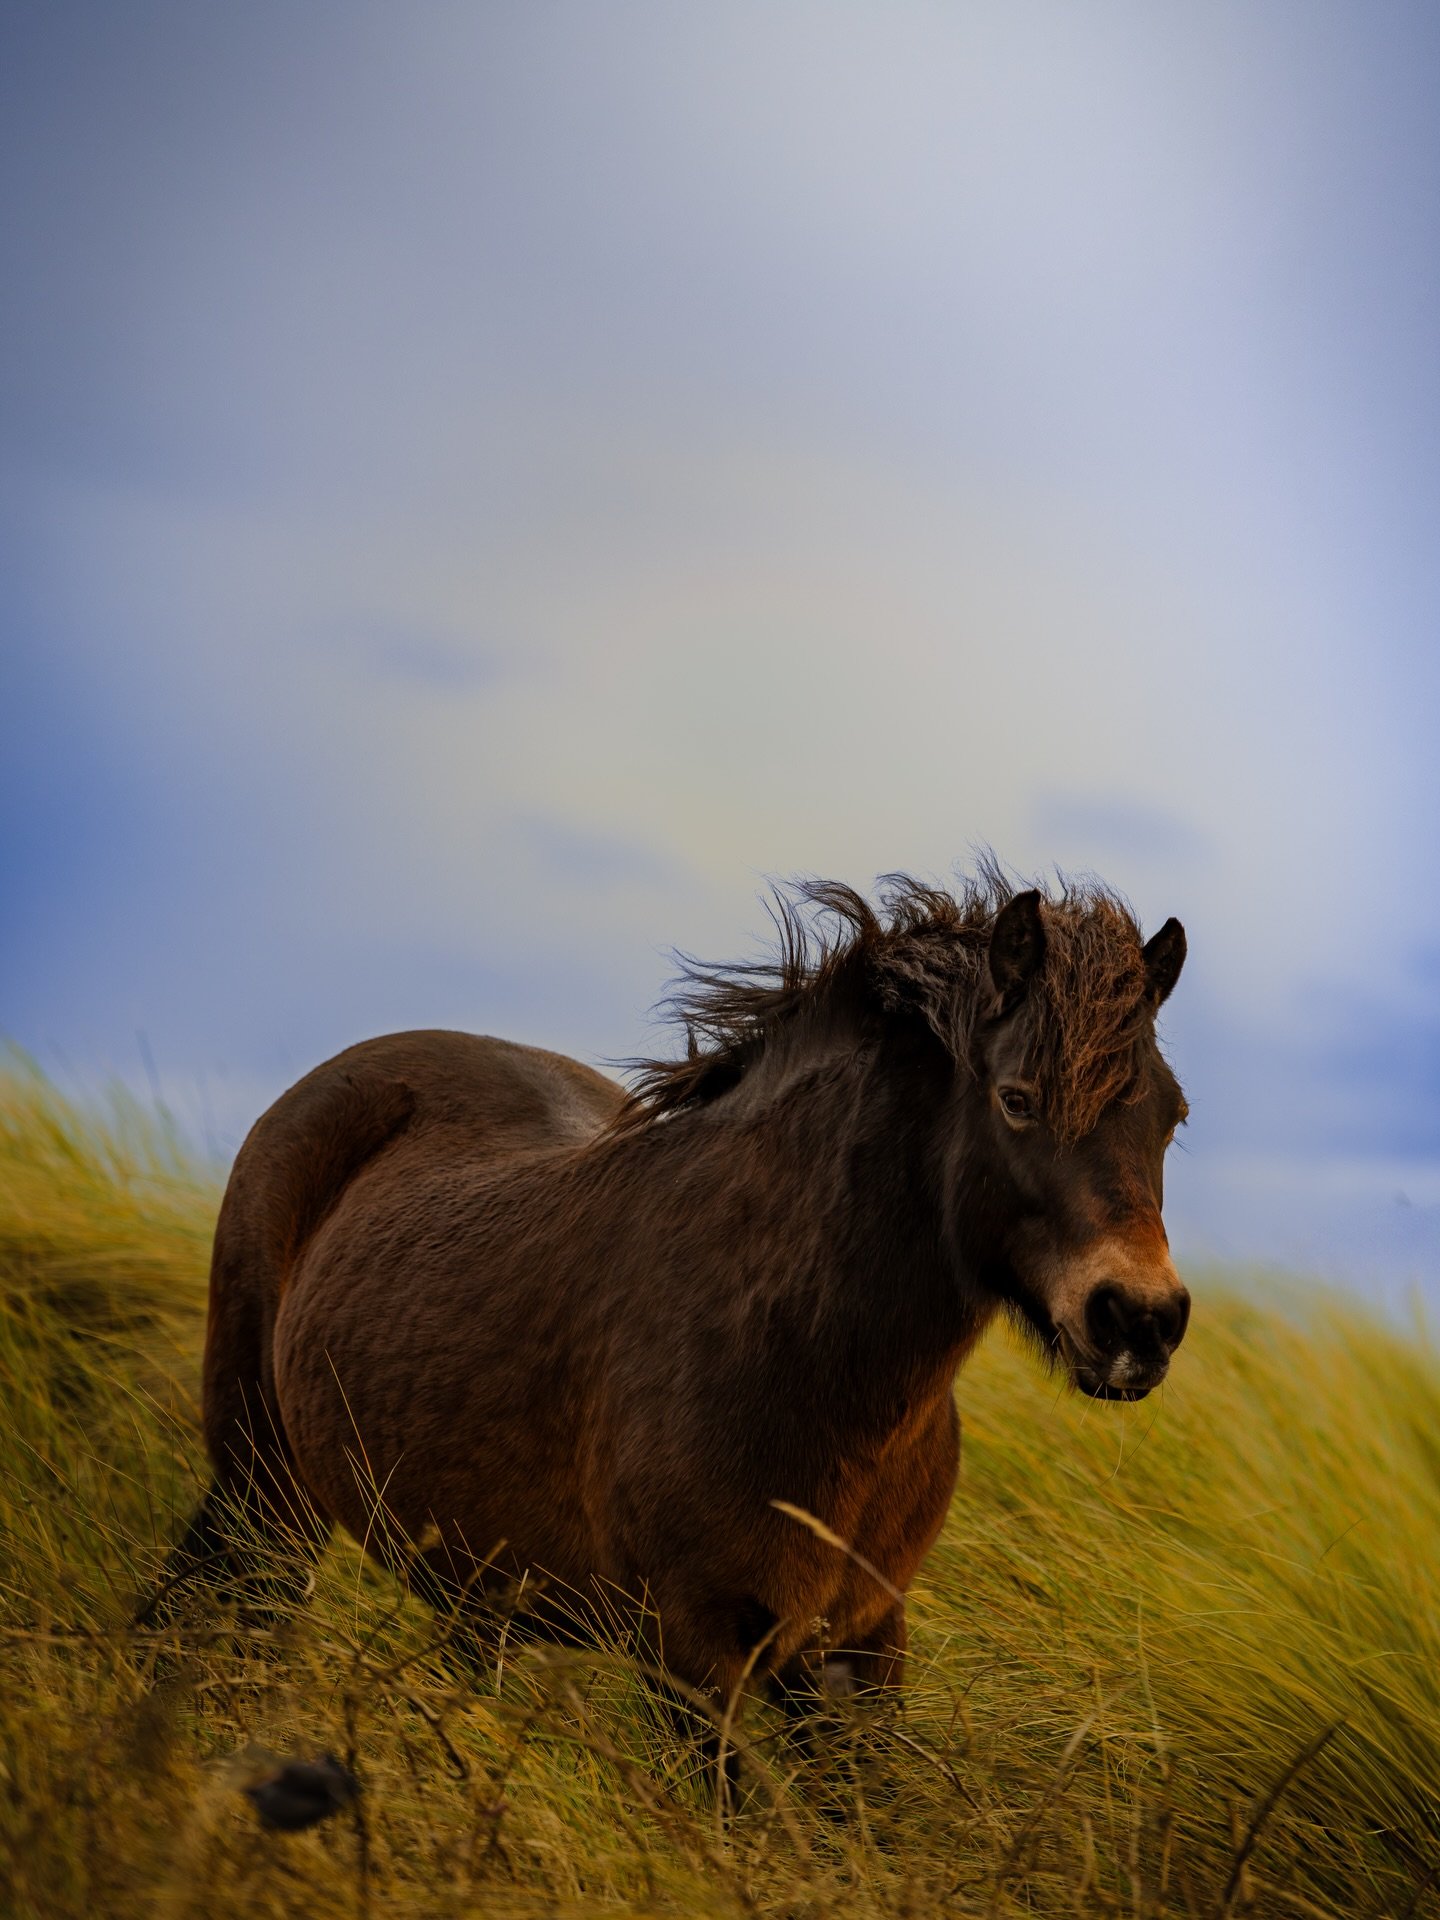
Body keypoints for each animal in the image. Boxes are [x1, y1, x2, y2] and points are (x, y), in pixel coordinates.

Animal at [159, 864, 1190, 1738]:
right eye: (1018, 1099)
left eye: (1172, 1116)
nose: (1140, 1320)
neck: (802, 1353)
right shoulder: (693, 1655)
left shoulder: (859, 1646)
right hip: (263, 1486)